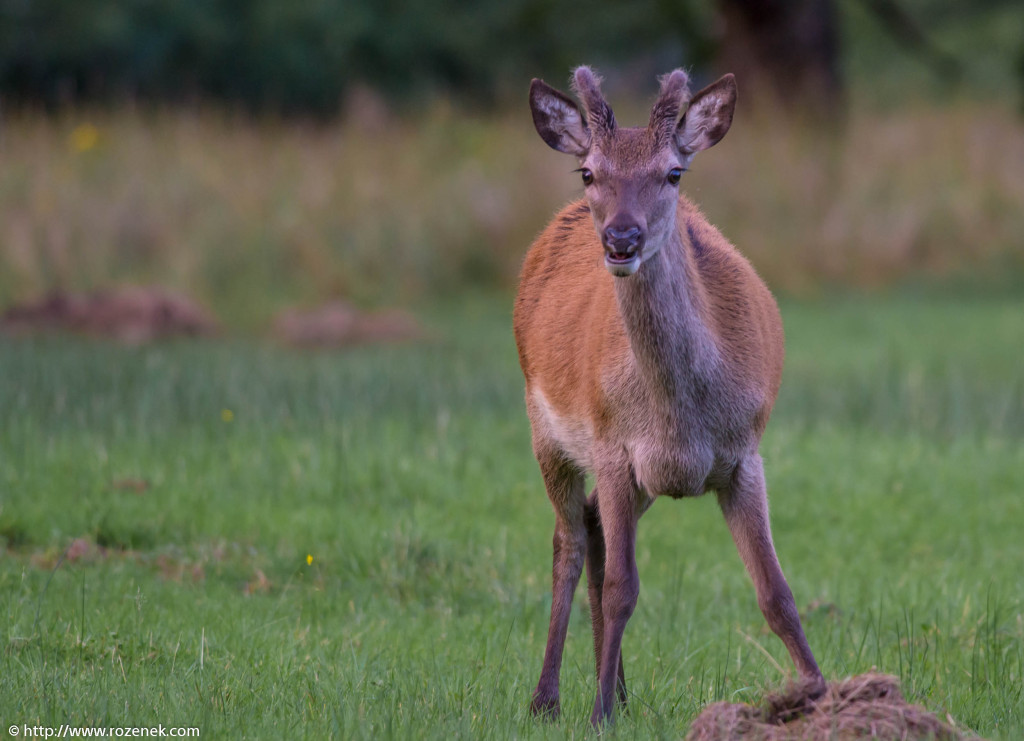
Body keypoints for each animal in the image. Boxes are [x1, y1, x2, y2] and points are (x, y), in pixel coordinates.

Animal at [512, 66, 823, 724]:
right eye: (589, 172)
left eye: (674, 172)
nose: (621, 238)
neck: (682, 419)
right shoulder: (611, 446)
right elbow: (622, 589)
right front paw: (598, 714)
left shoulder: (744, 454)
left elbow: (776, 592)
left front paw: (822, 693)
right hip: (545, 428)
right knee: (569, 542)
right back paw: (549, 698)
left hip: (637, 479)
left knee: (593, 529)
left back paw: (622, 692)